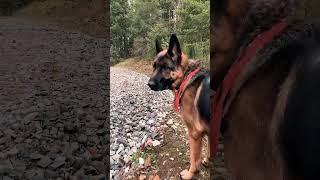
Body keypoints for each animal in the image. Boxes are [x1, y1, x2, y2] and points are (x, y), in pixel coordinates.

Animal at [148, 34, 212, 179]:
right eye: (154, 66)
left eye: (165, 67)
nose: (149, 84)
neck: (185, 77)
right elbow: (210, 148)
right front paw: (208, 160)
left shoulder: (194, 134)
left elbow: (194, 158)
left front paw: (190, 174)